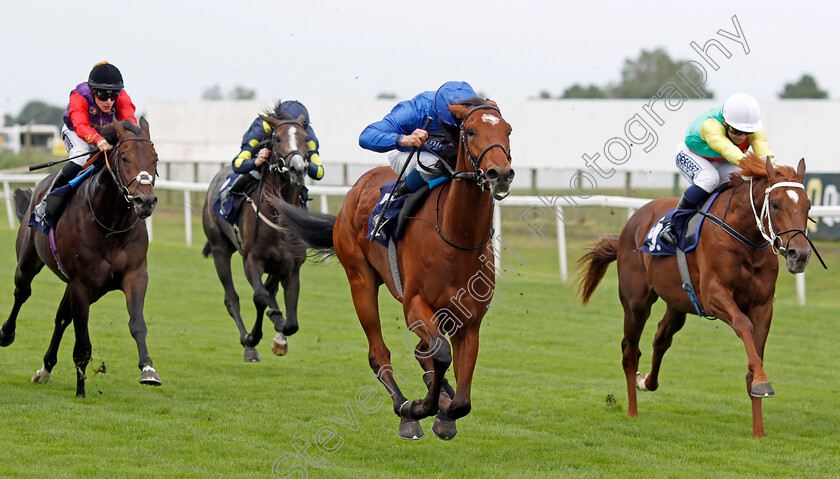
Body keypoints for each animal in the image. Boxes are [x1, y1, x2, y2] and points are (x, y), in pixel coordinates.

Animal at [0, 119, 162, 398]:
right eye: (124, 157)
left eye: (155, 159)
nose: (146, 201)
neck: (110, 224)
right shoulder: (81, 285)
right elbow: (83, 342)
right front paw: (81, 390)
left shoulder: (135, 275)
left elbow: (137, 323)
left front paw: (148, 370)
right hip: (29, 261)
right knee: (22, 292)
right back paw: (6, 334)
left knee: (61, 317)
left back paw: (45, 370)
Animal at [202, 112, 310, 362]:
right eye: (277, 139)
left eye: (305, 138)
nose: (297, 169)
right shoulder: (252, 259)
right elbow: (259, 297)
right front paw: (252, 337)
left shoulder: (292, 267)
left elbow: (291, 323)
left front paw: (280, 330)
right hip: (219, 248)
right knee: (231, 298)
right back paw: (248, 345)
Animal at [276, 101, 516, 442]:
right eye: (470, 131)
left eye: (508, 130)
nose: (501, 173)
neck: (457, 239)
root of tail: (358, 186)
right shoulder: (415, 305)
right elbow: (441, 354)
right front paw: (419, 407)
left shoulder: (469, 321)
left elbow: (462, 400)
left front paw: (445, 412)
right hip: (360, 280)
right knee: (379, 354)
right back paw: (404, 410)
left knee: (421, 352)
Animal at [576, 155, 812, 438]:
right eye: (775, 204)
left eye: (808, 205)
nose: (800, 254)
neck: (745, 239)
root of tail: (634, 220)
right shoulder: (714, 296)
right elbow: (743, 324)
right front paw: (762, 383)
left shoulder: (763, 305)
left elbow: (754, 357)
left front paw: (759, 428)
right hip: (636, 303)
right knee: (630, 352)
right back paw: (633, 411)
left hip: (678, 303)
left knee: (661, 338)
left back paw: (646, 382)